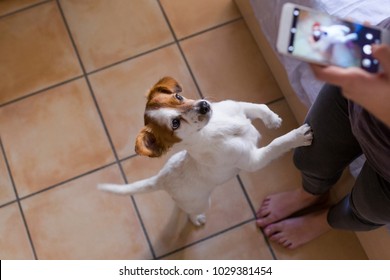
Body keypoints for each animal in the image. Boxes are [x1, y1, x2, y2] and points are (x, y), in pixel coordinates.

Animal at [98, 77, 314, 226]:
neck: (216, 128)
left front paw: (272, 119)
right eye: (175, 123)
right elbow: (277, 143)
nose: (204, 105)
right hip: (200, 202)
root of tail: (161, 178)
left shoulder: (238, 106)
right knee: (189, 212)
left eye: (178, 96)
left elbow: (259, 106)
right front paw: (297, 136)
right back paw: (197, 219)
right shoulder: (254, 160)